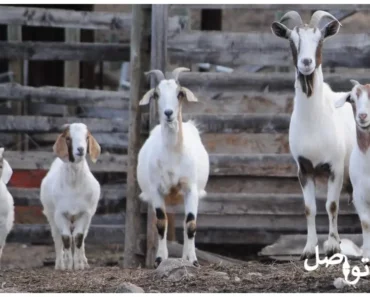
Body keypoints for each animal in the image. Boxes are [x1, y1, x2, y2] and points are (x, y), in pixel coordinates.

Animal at [40, 121, 101, 270]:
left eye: (86, 137)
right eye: (68, 138)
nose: (80, 149)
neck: (73, 186)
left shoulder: (85, 213)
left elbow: (79, 237)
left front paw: (79, 265)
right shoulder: (60, 214)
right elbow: (66, 238)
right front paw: (67, 265)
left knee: (83, 237)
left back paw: (84, 262)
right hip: (51, 215)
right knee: (57, 238)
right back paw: (59, 264)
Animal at [137, 68, 210, 268]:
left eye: (179, 93)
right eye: (156, 94)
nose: (168, 113)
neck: (173, 155)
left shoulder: (191, 189)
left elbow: (191, 224)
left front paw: (193, 260)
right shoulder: (156, 190)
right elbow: (161, 224)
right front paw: (160, 259)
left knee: (185, 224)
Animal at [272, 10, 356, 258]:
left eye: (320, 39)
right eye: (292, 40)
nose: (306, 63)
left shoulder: (335, 167)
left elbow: (331, 205)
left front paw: (332, 246)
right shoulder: (304, 168)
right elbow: (310, 208)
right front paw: (309, 248)